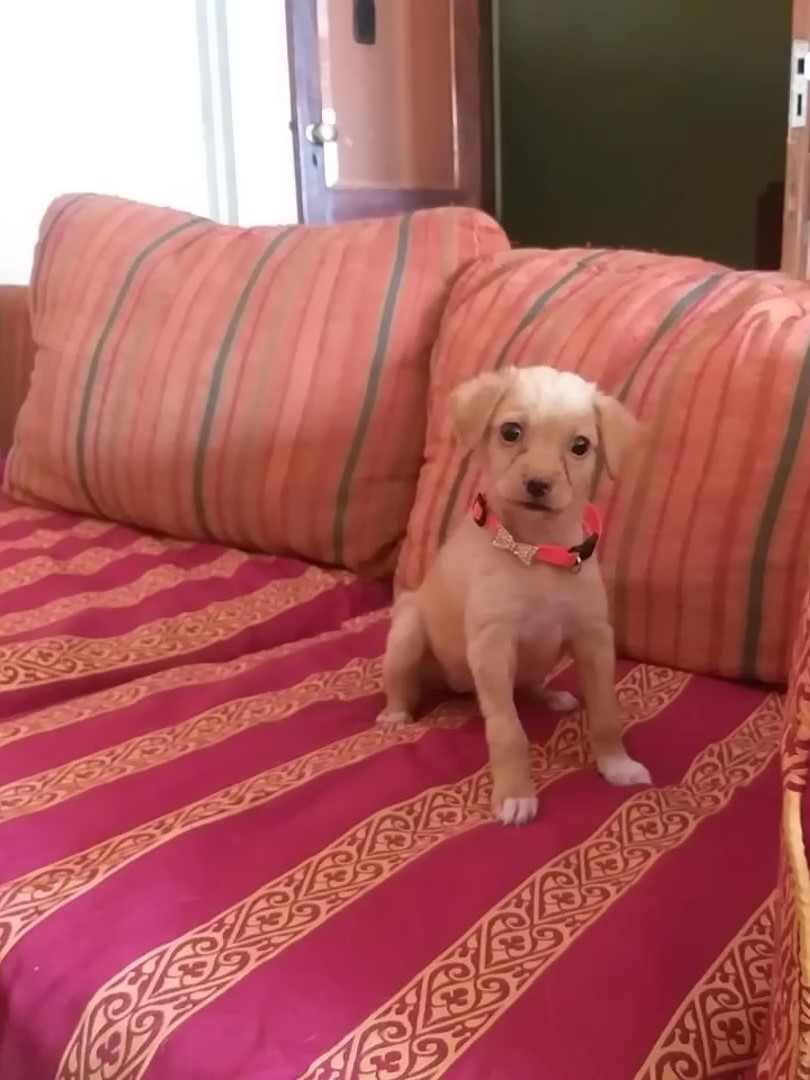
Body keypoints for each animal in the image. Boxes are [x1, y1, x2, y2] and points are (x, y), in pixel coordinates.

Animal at [378, 365, 652, 825]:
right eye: (511, 432)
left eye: (580, 446)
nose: (538, 484)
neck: (536, 550)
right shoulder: (492, 645)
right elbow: (508, 730)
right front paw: (515, 795)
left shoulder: (594, 638)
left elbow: (606, 711)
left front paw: (617, 764)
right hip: (408, 630)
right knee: (402, 681)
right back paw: (396, 713)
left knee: (528, 684)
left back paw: (550, 695)